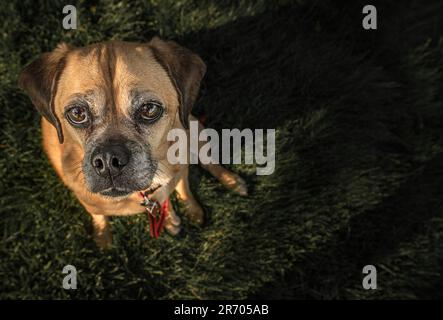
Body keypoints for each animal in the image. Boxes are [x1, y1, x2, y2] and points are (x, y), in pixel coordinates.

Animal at [19, 38, 248, 249]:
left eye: (149, 109)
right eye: (77, 113)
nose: (108, 161)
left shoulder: (179, 171)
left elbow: (183, 190)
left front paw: (187, 212)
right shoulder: (89, 202)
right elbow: (98, 215)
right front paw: (103, 235)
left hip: (194, 129)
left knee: (208, 161)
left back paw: (232, 181)